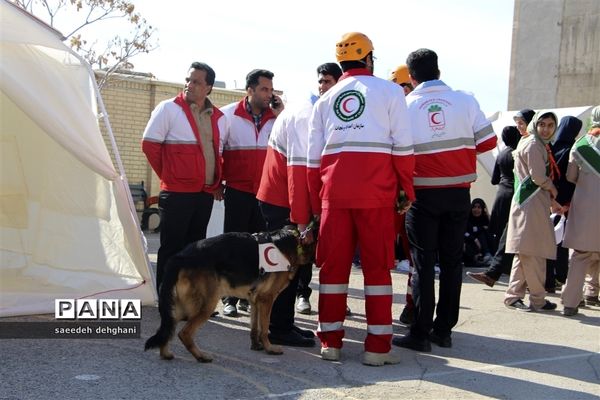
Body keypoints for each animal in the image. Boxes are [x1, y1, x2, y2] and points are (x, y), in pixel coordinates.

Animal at [144, 225, 314, 362]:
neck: (295, 242)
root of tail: (178, 257)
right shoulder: (267, 299)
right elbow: (265, 328)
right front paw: (269, 348)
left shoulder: (255, 300)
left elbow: (255, 327)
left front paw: (256, 345)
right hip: (207, 304)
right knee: (183, 333)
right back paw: (201, 356)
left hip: (175, 307)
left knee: (167, 329)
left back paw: (165, 353)